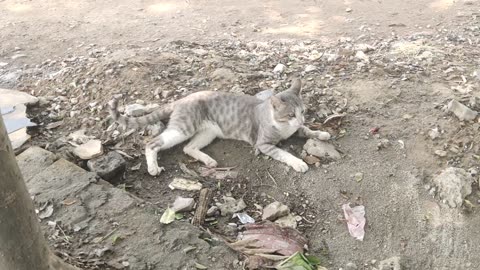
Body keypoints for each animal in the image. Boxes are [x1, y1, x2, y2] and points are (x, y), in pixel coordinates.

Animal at [109, 78, 330, 175]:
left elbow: (307, 131)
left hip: (208, 132)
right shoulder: (264, 144)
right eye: (291, 114)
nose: (300, 119)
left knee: (188, 147)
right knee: (153, 143)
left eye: (303, 111)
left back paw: (208, 161)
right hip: (183, 128)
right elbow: (283, 153)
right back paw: (153, 167)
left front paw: (321, 133)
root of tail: (182, 99)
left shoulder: (296, 129)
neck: (283, 127)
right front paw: (298, 162)